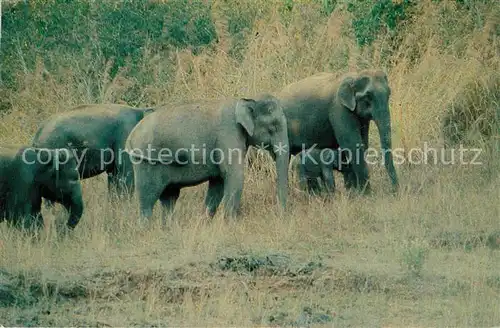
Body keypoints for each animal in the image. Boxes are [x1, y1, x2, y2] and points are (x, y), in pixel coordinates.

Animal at [123, 93, 292, 224]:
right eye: (273, 127)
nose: (280, 215)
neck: (246, 99)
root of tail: (131, 136)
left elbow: (218, 182)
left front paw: (205, 223)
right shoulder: (228, 135)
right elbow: (234, 176)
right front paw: (230, 225)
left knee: (169, 199)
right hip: (145, 161)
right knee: (148, 197)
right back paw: (145, 230)